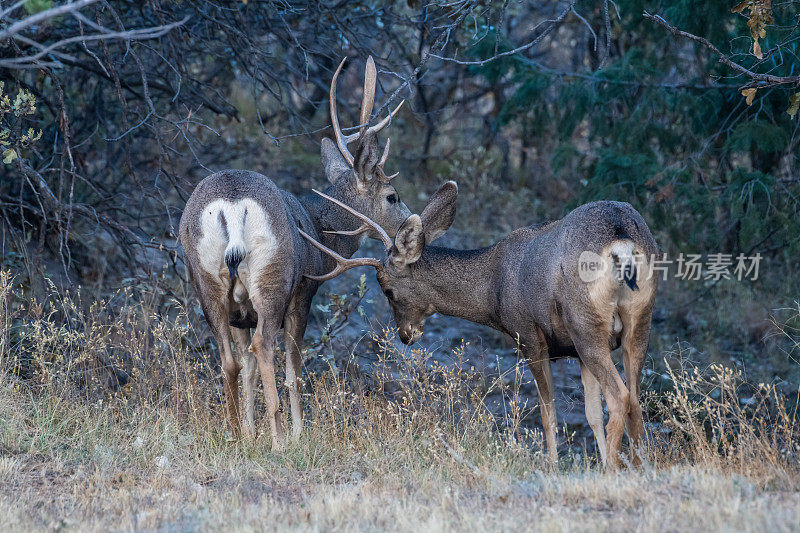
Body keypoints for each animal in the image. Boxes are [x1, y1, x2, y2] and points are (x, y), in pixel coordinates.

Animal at [177, 57, 410, 448]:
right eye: (392, 196)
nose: (410, 226)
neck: (320, 227)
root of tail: (232, 206)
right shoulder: (304, 293)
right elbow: (294, 370)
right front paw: (299, 433)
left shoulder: (241, 311)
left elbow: (248, 370)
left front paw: (250, 432)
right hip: (273, 277)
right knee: (264, 347)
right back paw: (280, 440)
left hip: (206, 282)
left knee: (229, 360)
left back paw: (234, 434)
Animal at [296, 182, 660, 466]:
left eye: (387, 289)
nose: (405, 335)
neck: (492, 292)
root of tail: (621, 241)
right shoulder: (574, 351)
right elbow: (591, 415)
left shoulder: (529, 334)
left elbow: (549, 414)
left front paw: (554, 467)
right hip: (638, 321)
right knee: (635, 398)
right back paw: (638, 467)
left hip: (586, 324)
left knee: (620, 397)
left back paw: (614, 470)